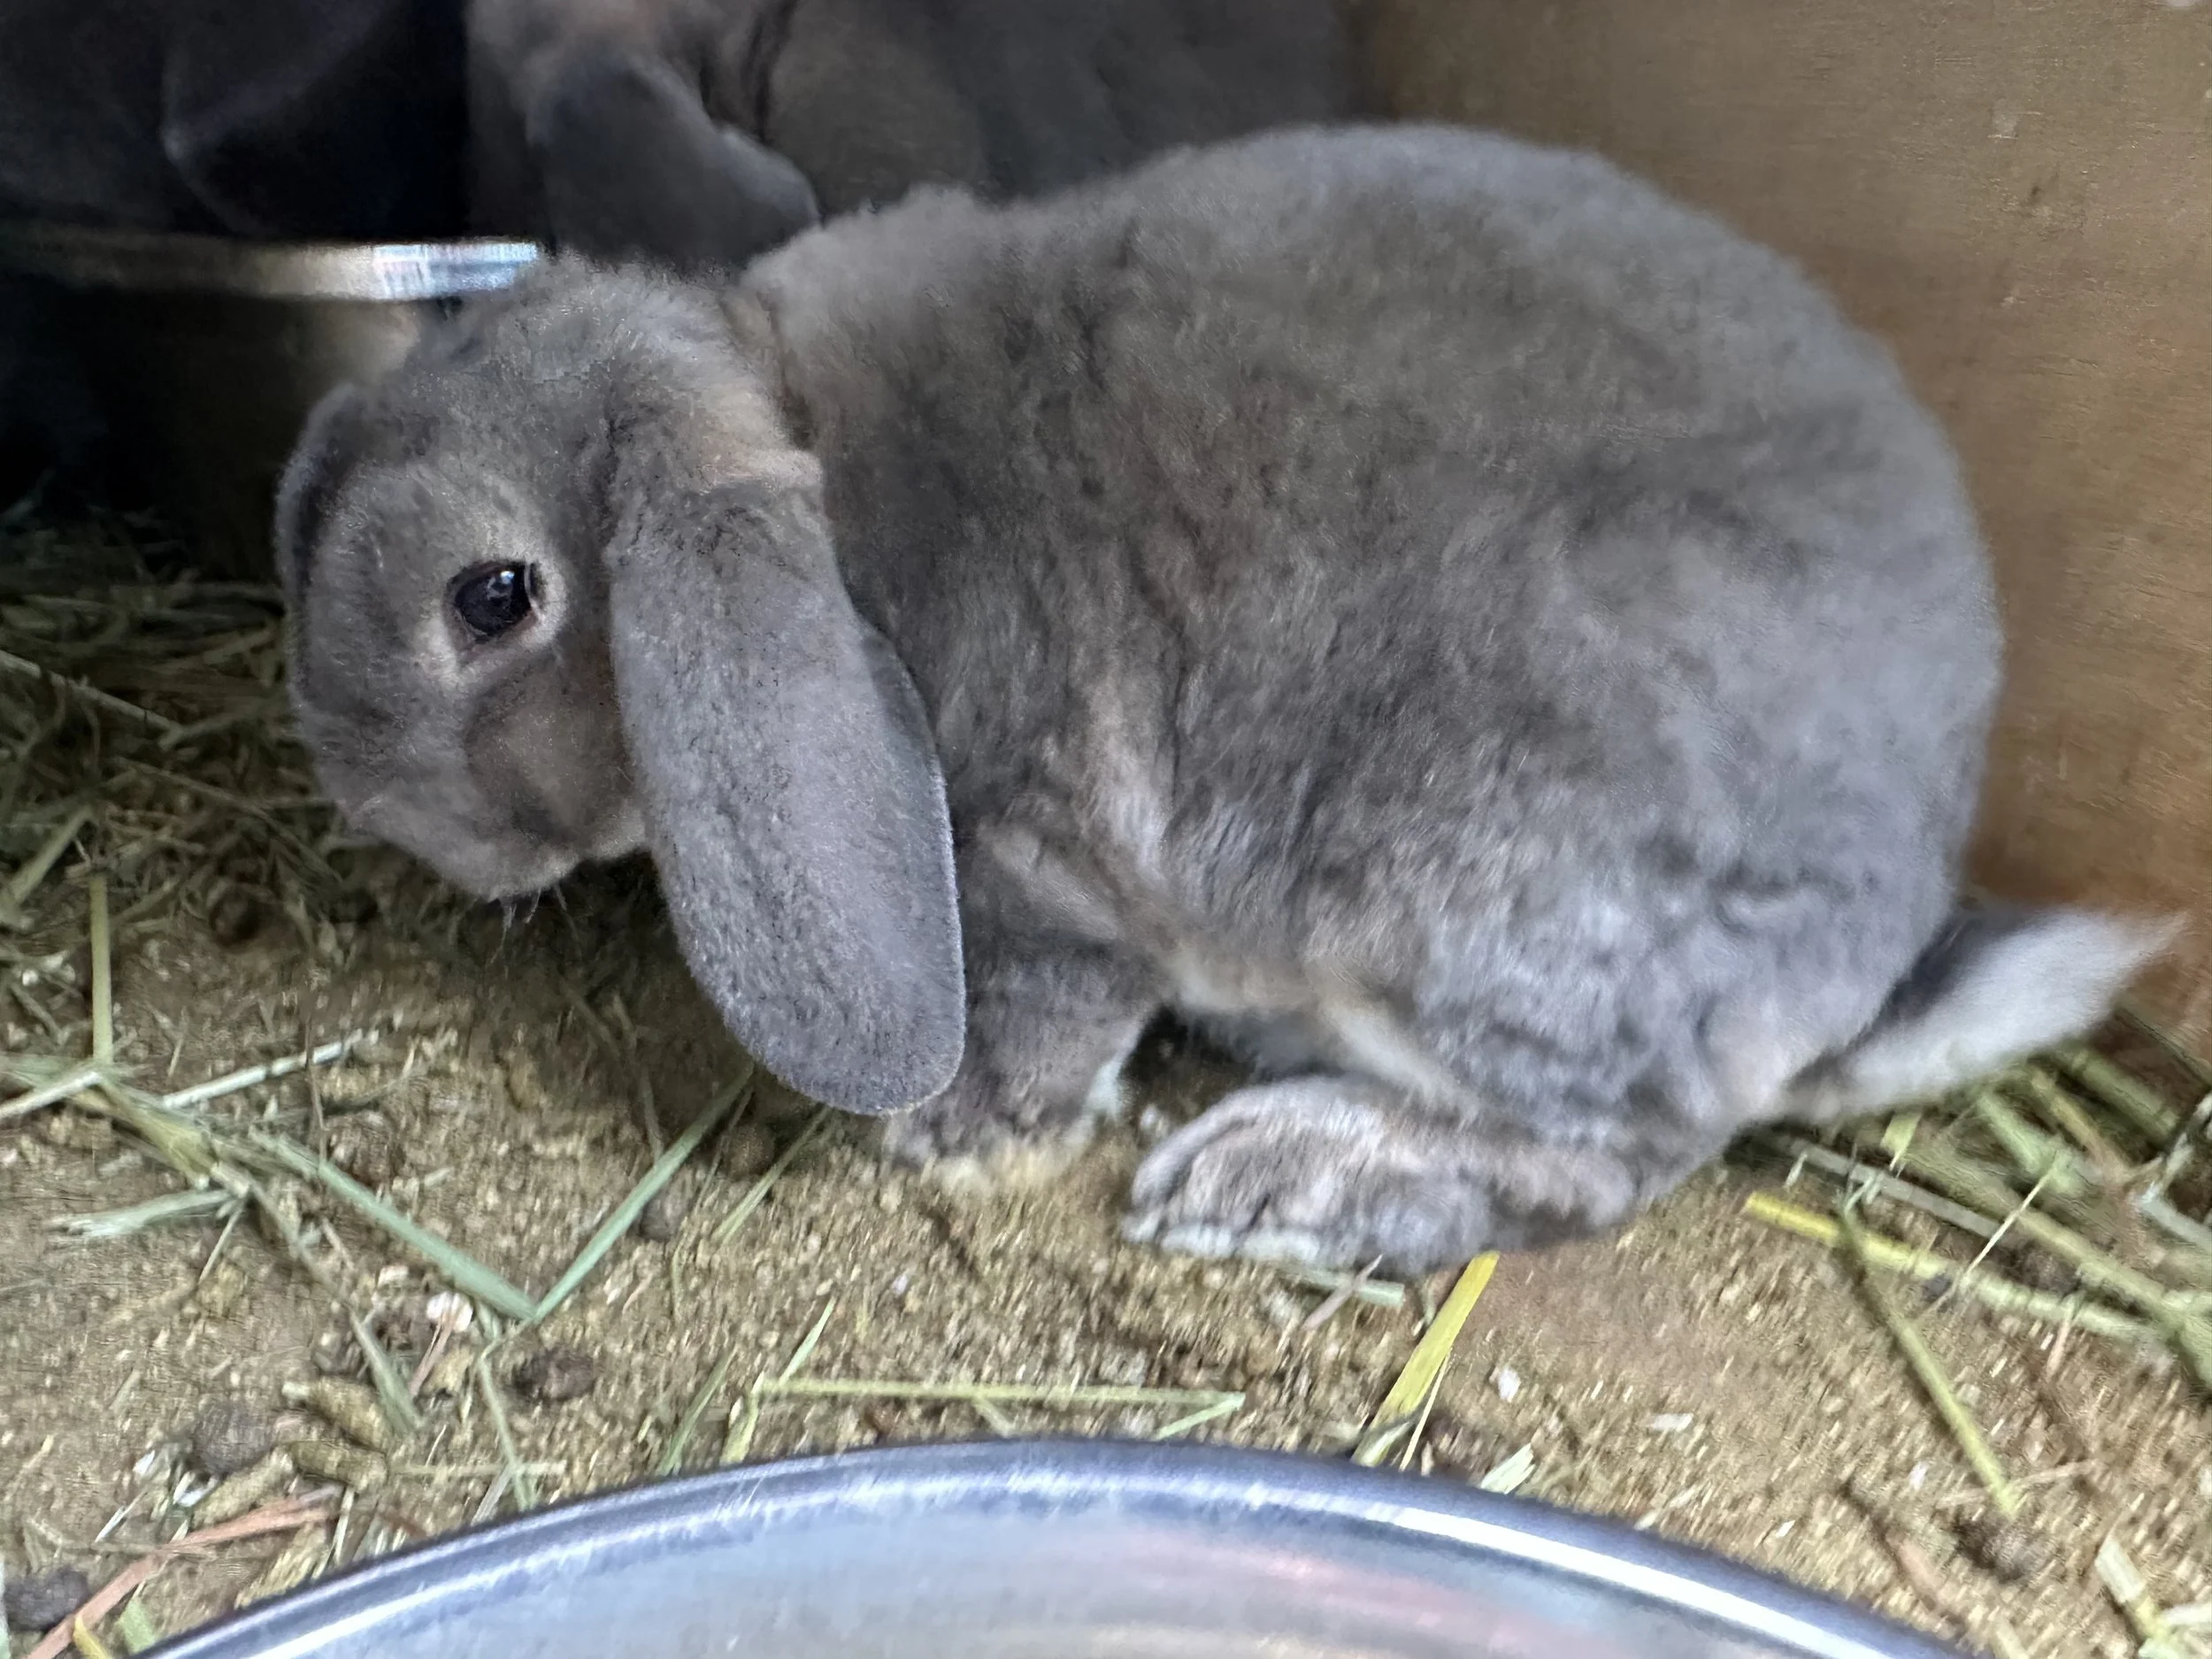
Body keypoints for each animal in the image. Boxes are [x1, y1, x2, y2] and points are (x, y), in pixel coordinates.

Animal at [274, 122, 2172, 1274]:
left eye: (492, 598)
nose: (367, 800)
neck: (830, 471)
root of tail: (1871, 956)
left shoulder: (1033, 864)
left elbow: (1047, 1005)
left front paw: (955, 1130)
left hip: (1457, 901)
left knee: (1614, 1155)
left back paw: (1283, 1174)